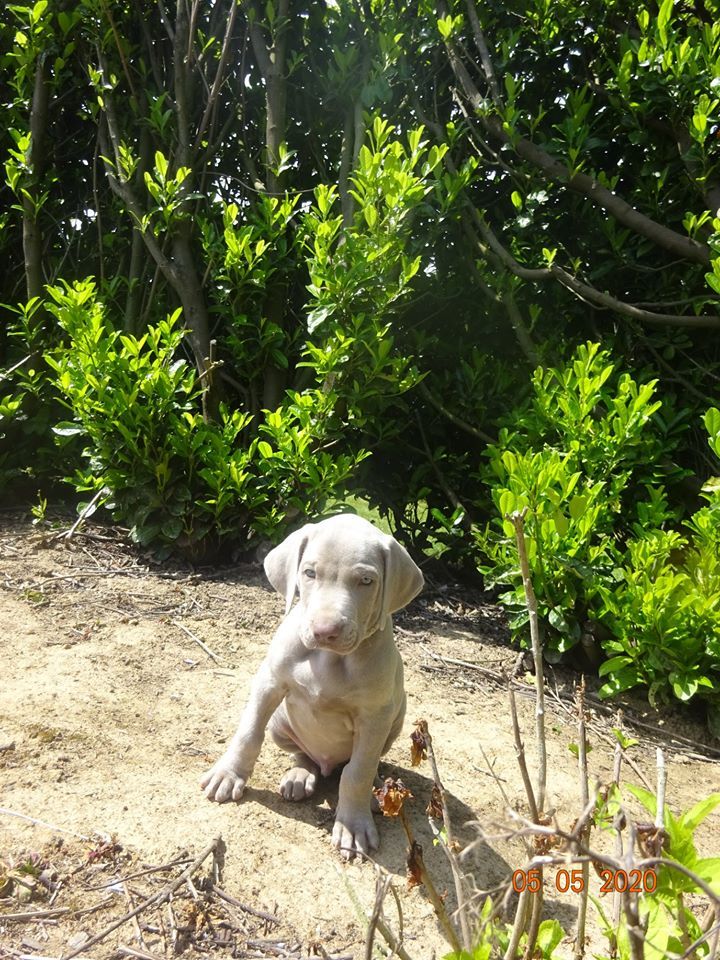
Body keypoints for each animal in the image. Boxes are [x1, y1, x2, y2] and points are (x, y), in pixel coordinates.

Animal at [200, 514, 424, 858]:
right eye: (309, 573)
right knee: (304, 756)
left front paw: (352, 825)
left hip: (395, 719)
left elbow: (358, 772)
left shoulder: (375, 716)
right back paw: (299, 775)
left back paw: (374, 791)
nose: (325, 630)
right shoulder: (269, 682)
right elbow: (248, 733)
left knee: (362, 765)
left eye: (366, 581)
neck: (330, 659)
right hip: (281, 724)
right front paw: (228, 774)